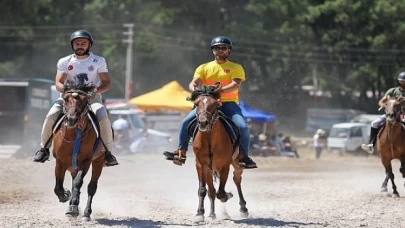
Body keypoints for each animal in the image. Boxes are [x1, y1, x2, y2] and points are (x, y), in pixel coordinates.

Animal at [51, 81, 104, 220]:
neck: (74, 136)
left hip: (98, 161)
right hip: (72, 166)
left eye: (85, 100)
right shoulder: (60, 162)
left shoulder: (86, 161)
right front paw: (65, 195)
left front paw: (73, 207)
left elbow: (78, 183)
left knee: (91, 187)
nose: (71, 119)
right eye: (65, 99)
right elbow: (58, 187)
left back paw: (86, 213)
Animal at [188, 83, 248, 222]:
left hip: (237, 164)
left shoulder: (224, 166)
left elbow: (221, 193)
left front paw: (228, 195)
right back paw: (212, 214)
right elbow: (203, 190)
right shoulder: (200, 165)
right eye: (196, 103)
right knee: (211, 190)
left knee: (237, 180)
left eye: (214, 103)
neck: (209, 138)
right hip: (209, 170)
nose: (203, 122)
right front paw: (200, 213)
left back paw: (243, 208)